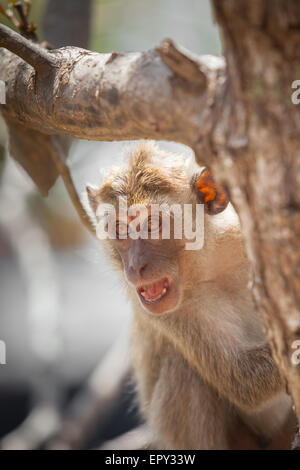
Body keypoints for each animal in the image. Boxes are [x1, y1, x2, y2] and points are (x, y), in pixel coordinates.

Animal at [85, 142, 294, 448]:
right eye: (120, 229)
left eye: (152, 225)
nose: (134, 267)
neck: (211, 266)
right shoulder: (170, 311)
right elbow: (243, 380)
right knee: (183, 371)